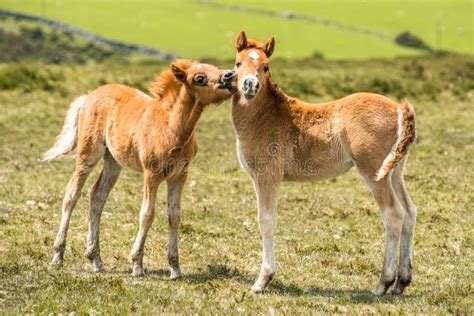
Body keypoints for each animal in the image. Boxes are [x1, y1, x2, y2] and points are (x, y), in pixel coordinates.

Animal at [44, 59, 237, 276]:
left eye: (214, 67)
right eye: (200, 78)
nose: (230, 75)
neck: (171, 128)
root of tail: (89, 95)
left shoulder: (179, 176)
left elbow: (174, 215)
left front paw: (175, 268)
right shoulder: (151, 175)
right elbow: (147, 214)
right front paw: (137, 264)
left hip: (113, 161)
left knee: (97, 196)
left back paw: (96, 259)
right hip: (88, 154)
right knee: (72, 194)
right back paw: (58, 256)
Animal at [231, 30, 416, 296]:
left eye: (266, 67)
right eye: (238, 63)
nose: (250, 86)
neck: (264, 117)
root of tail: (399, 108)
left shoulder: (267, 176)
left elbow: (266, 221)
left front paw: (262, 280)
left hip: (374, 172)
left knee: (393, 214)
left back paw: (383, 283)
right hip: (395, 171)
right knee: (410, 212)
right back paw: (402, 282)